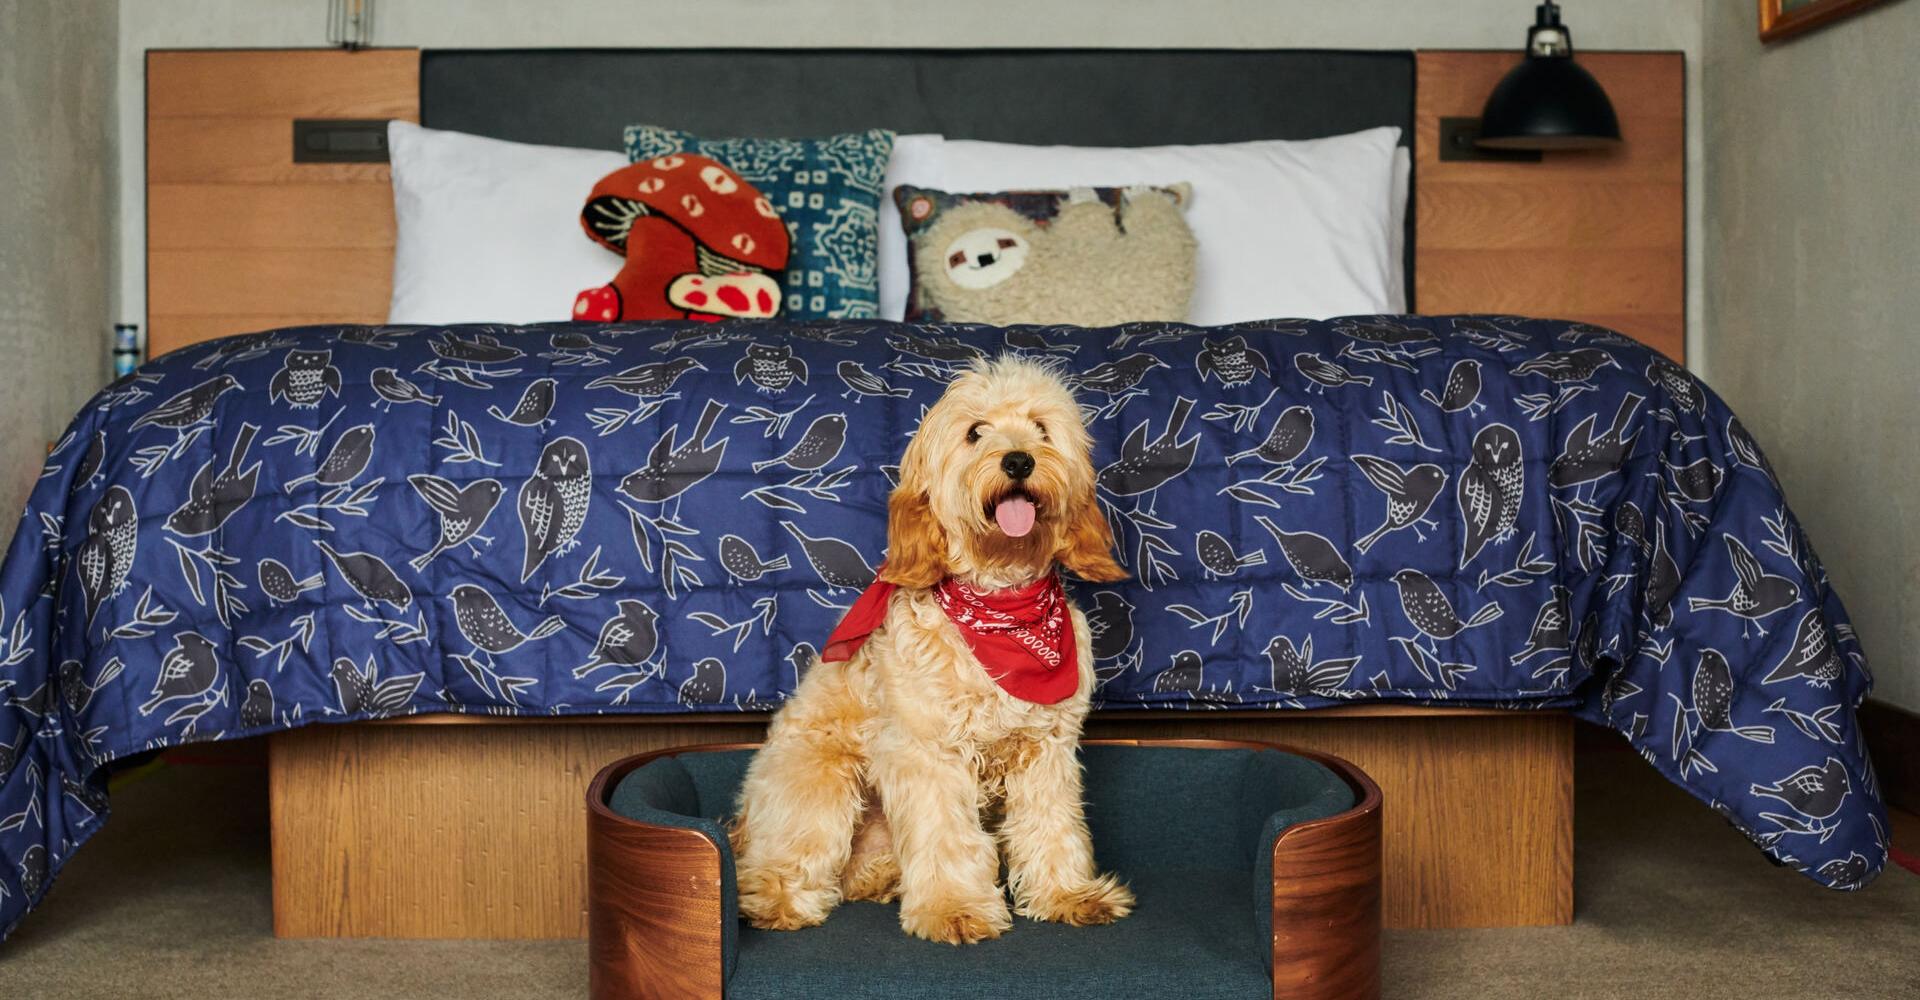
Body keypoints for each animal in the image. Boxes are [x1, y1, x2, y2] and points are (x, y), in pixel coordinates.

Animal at [725, 357, 1128, 944]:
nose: (1018, 459)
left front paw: (1066, 894)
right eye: (975, 432)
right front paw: (953, 908)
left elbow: (1052, 824)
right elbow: (944, 832)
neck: (1001, 605)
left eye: (1041, 429)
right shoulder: (929, 750)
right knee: (772, 867)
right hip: (819, 781)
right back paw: (778, 902)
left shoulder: (1046, 749)